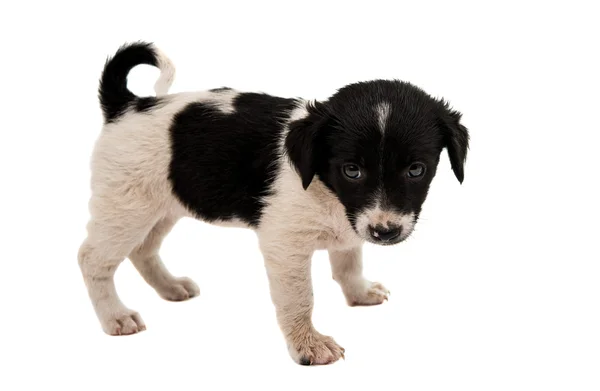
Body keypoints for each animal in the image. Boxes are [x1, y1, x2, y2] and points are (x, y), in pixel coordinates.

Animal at [77, 41, 468, 366]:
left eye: (416, 170)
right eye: (352, 170)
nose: (384, 232)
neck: (324, 184)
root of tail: (129, 105)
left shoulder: (351, 224)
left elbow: (348, 262)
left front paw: (359, 294)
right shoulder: (285, 244)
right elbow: (300, 299)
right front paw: (309, 346)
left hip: (162, 207)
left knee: (142, 250)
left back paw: (170, 287)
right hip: (126, 206)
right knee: (92, 259)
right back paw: (115, 316)